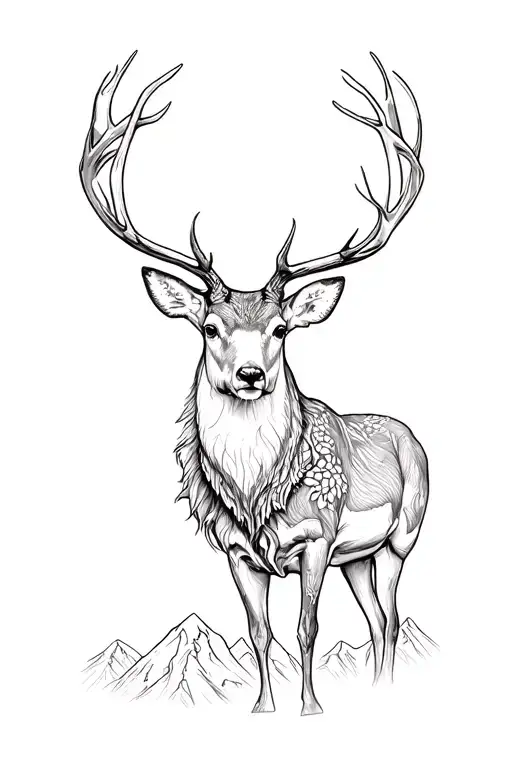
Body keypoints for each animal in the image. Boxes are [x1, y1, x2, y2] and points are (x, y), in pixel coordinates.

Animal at [80, 51, 428, 716]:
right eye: (209, 326)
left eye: (282, 328)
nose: (250, 375)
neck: (255, 487)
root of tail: (411, 436)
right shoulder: (238, 552)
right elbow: (259, 629)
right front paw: (263, 708)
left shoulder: (318, 534)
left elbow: (307, 626)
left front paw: (310, 708)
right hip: (358, 558)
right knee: (375, 619)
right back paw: (376, 695)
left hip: (401, 537)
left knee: (393, 617)